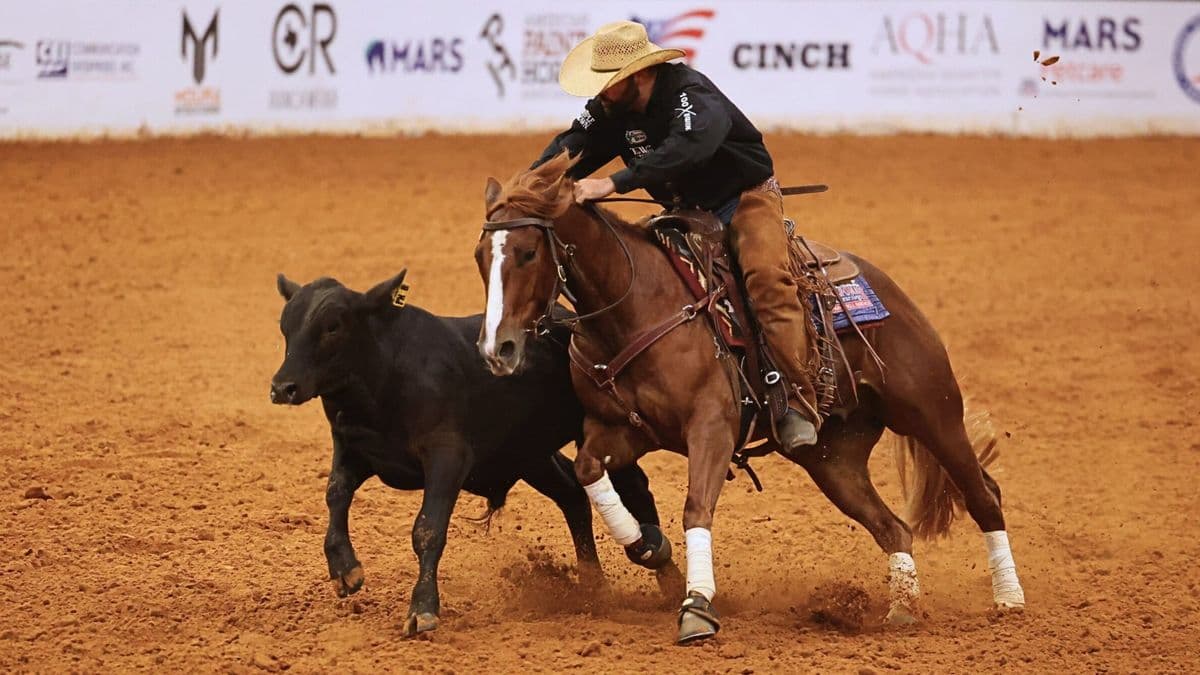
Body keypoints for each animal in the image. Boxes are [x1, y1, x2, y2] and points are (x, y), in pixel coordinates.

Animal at [473, 153, 1026, 644]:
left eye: (527, 252)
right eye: (481, 258)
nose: (497, 349)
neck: (635, 307)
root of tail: (884, 287)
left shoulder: (711, 428)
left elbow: (696, 508)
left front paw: (697, 606)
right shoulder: (622, 430)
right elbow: (589, 473)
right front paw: (648, 547)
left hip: (931, 411)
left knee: (983, 495)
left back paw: (1008, 600)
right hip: (833, 459)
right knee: (893, 528)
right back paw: (903, 609)